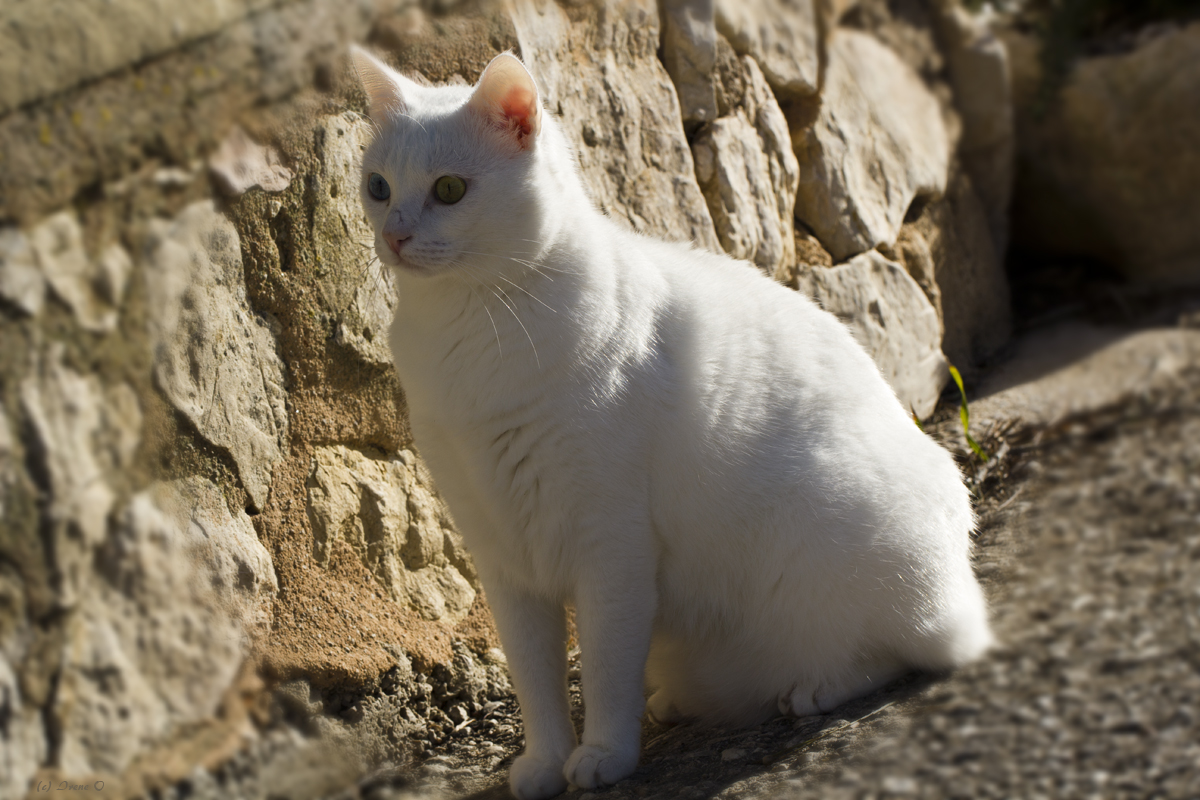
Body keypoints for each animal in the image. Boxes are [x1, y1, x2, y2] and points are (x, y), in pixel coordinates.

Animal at [350, 47, 993, 796]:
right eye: (378, 187)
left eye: (450, 190)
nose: (393, 235)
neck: (469, 325)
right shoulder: (503, 556)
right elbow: (535, 679)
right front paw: (543, 762)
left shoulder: (611, 545)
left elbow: (603, 666)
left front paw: (603, 754)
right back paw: (683, 702)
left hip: (851, 549)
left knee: (904, 652)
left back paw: (813, 689)